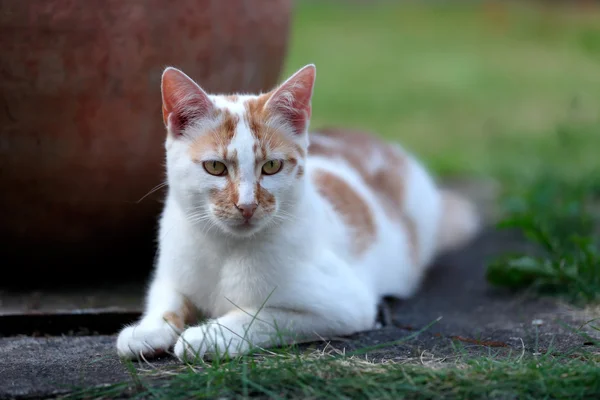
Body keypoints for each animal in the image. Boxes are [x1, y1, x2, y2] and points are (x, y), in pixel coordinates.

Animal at [115, 63, 480, 362]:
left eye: (271, 166)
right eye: (215, 167)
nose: (247, 205)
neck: (226, 249)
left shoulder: (346, 305)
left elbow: (261, 316)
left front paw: (210, 336)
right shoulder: (171, 274)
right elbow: (167, 300)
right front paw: (147, 330)